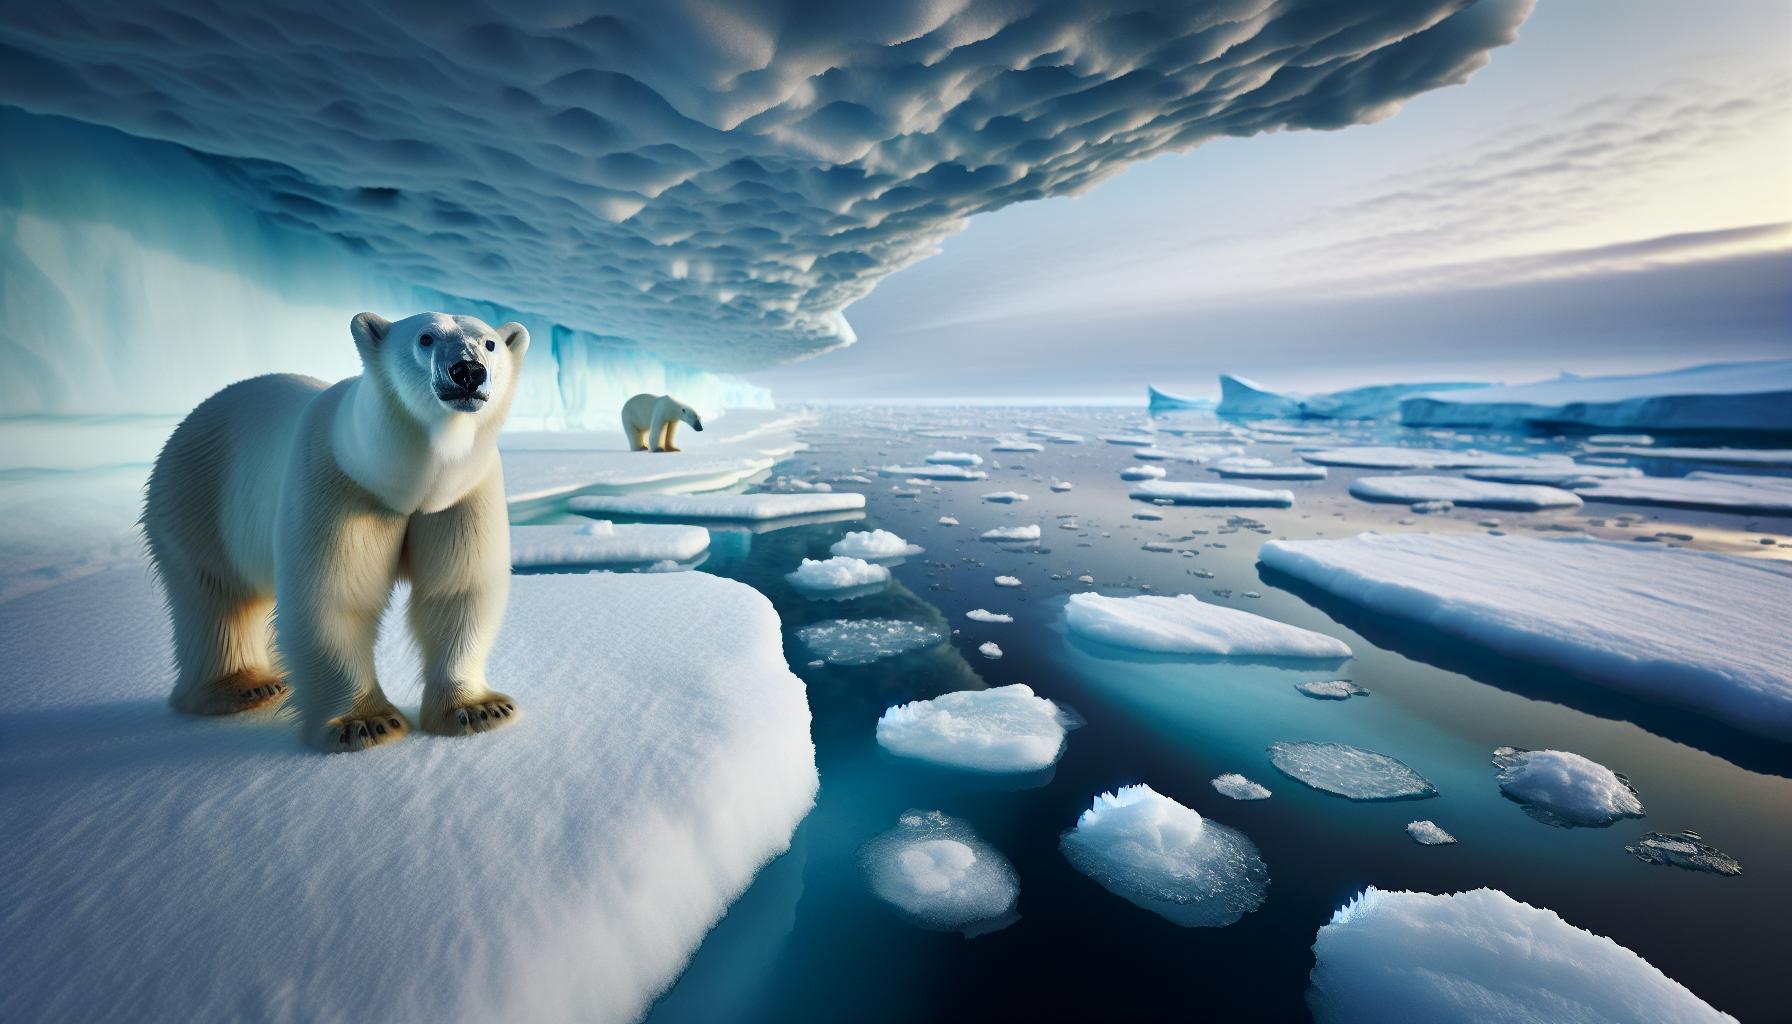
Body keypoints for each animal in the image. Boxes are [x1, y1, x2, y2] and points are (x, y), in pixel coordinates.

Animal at [142, 312, 529, 752]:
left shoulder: (462, 495)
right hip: (196, 498)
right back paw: (243, 687)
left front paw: (479, 710)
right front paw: (365, 723)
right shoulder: (338, 486)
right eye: (426, 338)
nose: (468, 371)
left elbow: (458, 591)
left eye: (489, 343)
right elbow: (334, 598)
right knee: (215, 597)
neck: (405, 482)